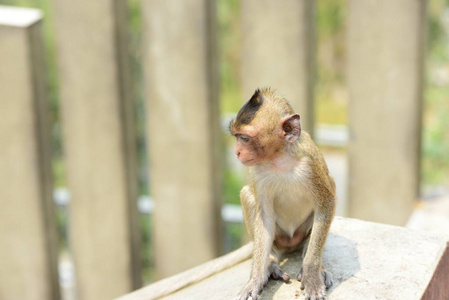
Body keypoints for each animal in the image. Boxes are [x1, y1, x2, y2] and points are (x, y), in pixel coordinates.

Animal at [229, 88, 334, 300]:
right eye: (236, 136)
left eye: (245, 138)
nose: (236, 152)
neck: (278, 158)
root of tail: (290, 243)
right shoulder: (257, 171)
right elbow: (265, 218)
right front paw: (255, 279)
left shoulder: (310, 164)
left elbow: (325, 204)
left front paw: (312, 274)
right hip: (279, 238)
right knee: (247, 194)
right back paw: (270, 263)